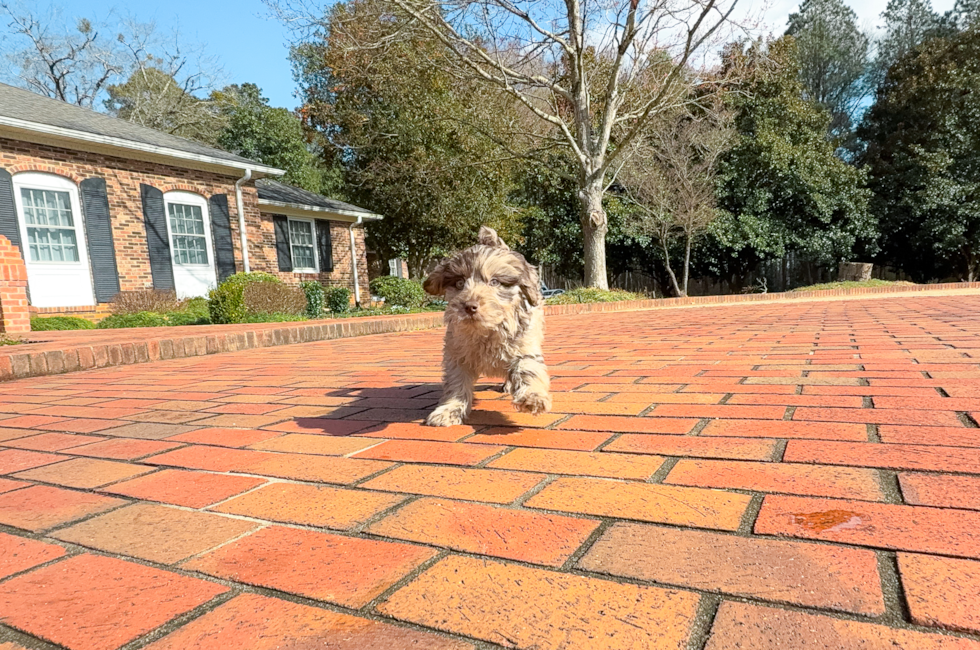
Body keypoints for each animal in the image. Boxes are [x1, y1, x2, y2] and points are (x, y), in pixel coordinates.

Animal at [422, 224, 552, 426]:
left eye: (495, 282)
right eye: (459, 283)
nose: (469, 306)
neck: (486, 331)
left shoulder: (524, 346)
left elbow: (527, 369)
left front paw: (533, 397)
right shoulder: (456, 355)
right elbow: (456, 384)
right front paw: (449, 410)